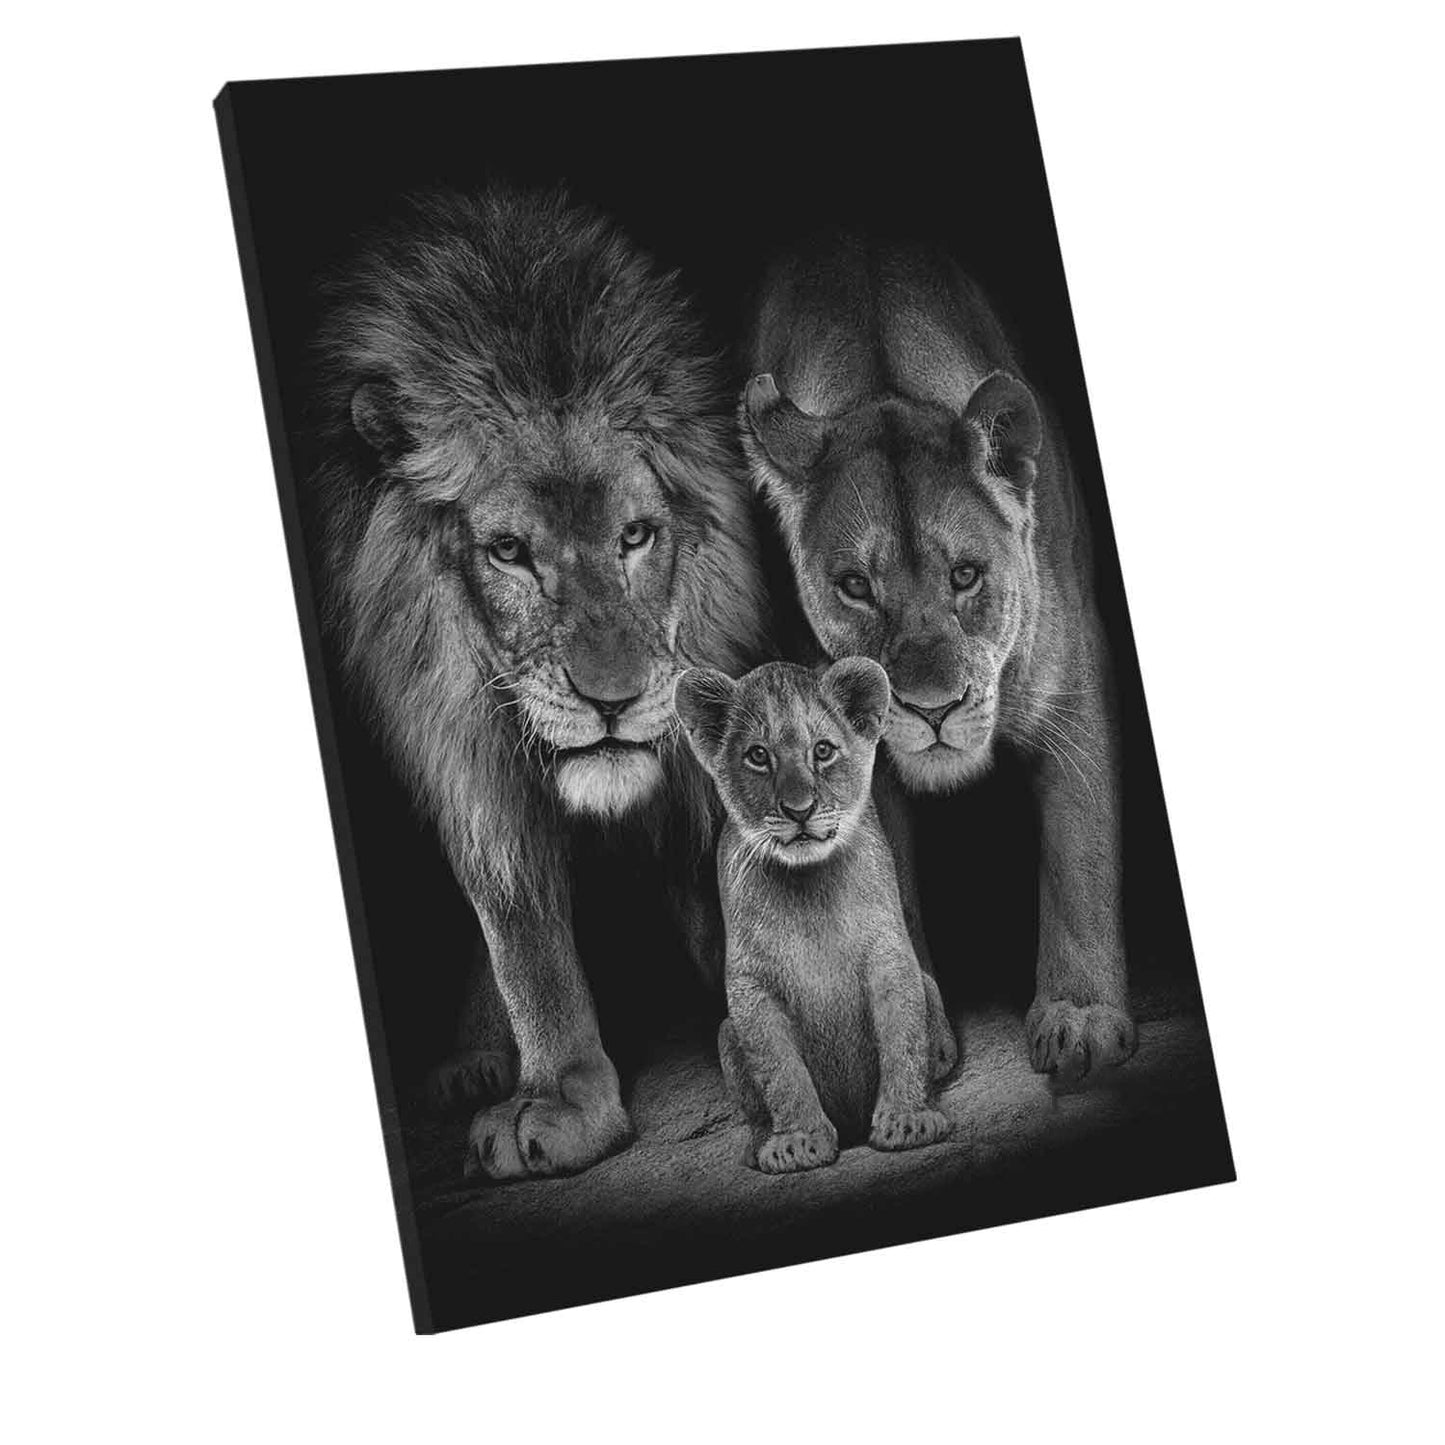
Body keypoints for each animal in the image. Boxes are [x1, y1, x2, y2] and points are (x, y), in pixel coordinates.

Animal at [309, 188, 769, 1179]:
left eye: (636, 535)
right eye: (511, 552)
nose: (613, 700)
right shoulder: (457, 736)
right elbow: (518, 925)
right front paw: (560, 1095)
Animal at [674, 659, 953, 1174]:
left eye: (822, 750)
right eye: (757, 756)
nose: (799, 810)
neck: (808, 886)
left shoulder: (889, 956)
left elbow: (903, 1036)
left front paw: (906, 1121)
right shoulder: (750, 985)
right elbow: (781, 1071)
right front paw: (798, 1141)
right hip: (725, 1033)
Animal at [739, 236, 1137, 1078]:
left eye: (964, 575)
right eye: (855, 587)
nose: (932, 709)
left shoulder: (1073, 683)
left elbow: (1079, 852)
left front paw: (1081, 1017)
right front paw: (910, 1030)